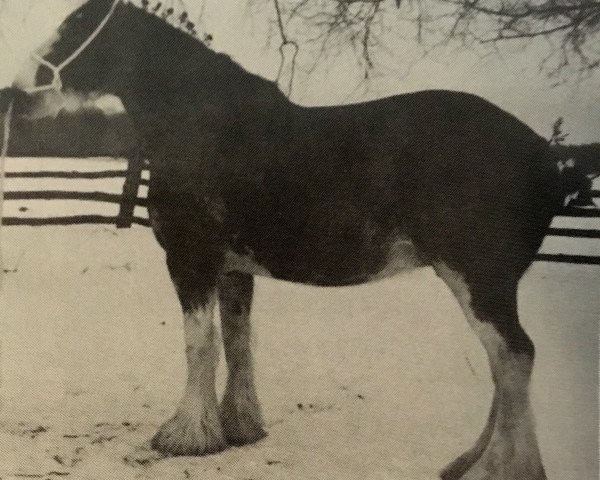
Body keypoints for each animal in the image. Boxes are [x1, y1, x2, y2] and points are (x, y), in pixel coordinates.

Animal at [14, 1, 568, 478]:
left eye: (73, 26)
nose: (17, 94)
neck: (203, 124)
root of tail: (545, 154)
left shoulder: (191, 261)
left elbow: (199, 344)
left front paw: (186, 436)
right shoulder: (233, 268)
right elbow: (237, 341)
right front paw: (239, 428)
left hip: (478, 280)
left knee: (514, 357)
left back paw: (499, 469)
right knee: (505, 364)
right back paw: (466, 463)